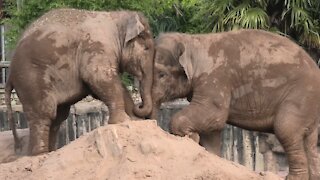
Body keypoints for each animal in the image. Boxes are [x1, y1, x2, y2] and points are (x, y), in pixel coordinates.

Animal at [4, 8, 155, 155]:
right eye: (146, 48)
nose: (139, 106)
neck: (117, 17)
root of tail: (10, 72)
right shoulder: (97, 46)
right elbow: (99, 78)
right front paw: (123, 120)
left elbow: (109, 85)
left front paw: (135, 120)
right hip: (31, 79)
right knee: (44, 114)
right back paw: (40, 154)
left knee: (58, 117)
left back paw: (50, 151)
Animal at [146, 29, 320, 180]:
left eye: (161, 75)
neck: (192, 40)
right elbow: (212, 128)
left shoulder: (214, 78)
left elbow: (214, 115)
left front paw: (191, 138)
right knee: (309, 142)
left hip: (300, 96)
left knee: (286, 129)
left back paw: (293, 178)